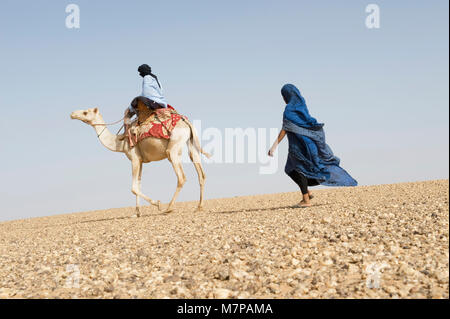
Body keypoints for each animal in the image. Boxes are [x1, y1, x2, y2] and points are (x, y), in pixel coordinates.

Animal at [71, 108, 211, 218]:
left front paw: (157, 203)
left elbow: (133, 188)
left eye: (85, 112)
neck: (120, 142)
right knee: (200, 171)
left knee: (181, 177)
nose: (72, 114)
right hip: (191, 143)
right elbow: (138, 184)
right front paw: (137, 213)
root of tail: (186, 122)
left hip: (173, 148)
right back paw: (199, 206)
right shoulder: (141, 161)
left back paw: (168, 208)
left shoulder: (134, 158)